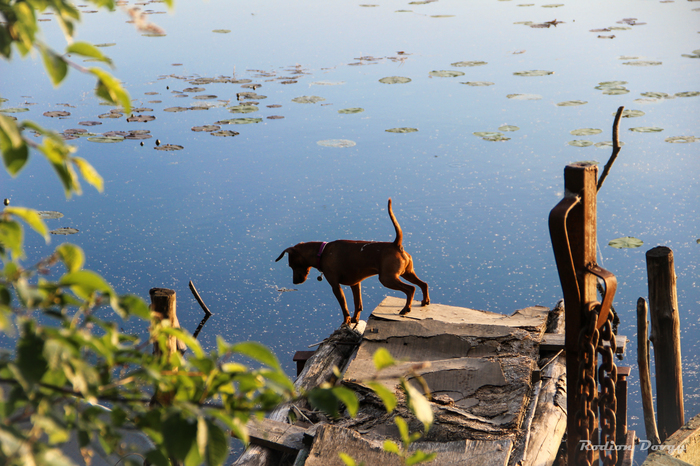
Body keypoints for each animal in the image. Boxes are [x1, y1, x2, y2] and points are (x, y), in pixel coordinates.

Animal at [276, 198, 430, 326]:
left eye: (291, 265)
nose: (294, 282)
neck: (322, 252)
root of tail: (396, 244)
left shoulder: (335, 286)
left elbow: (344, 307)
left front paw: (346, 322)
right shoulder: (355, 283)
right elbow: (358, 304)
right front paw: (355, 320)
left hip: (387, 278)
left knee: (411, 289)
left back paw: (406, 309)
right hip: (406, 273)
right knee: (423, 284)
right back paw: (425, 301)